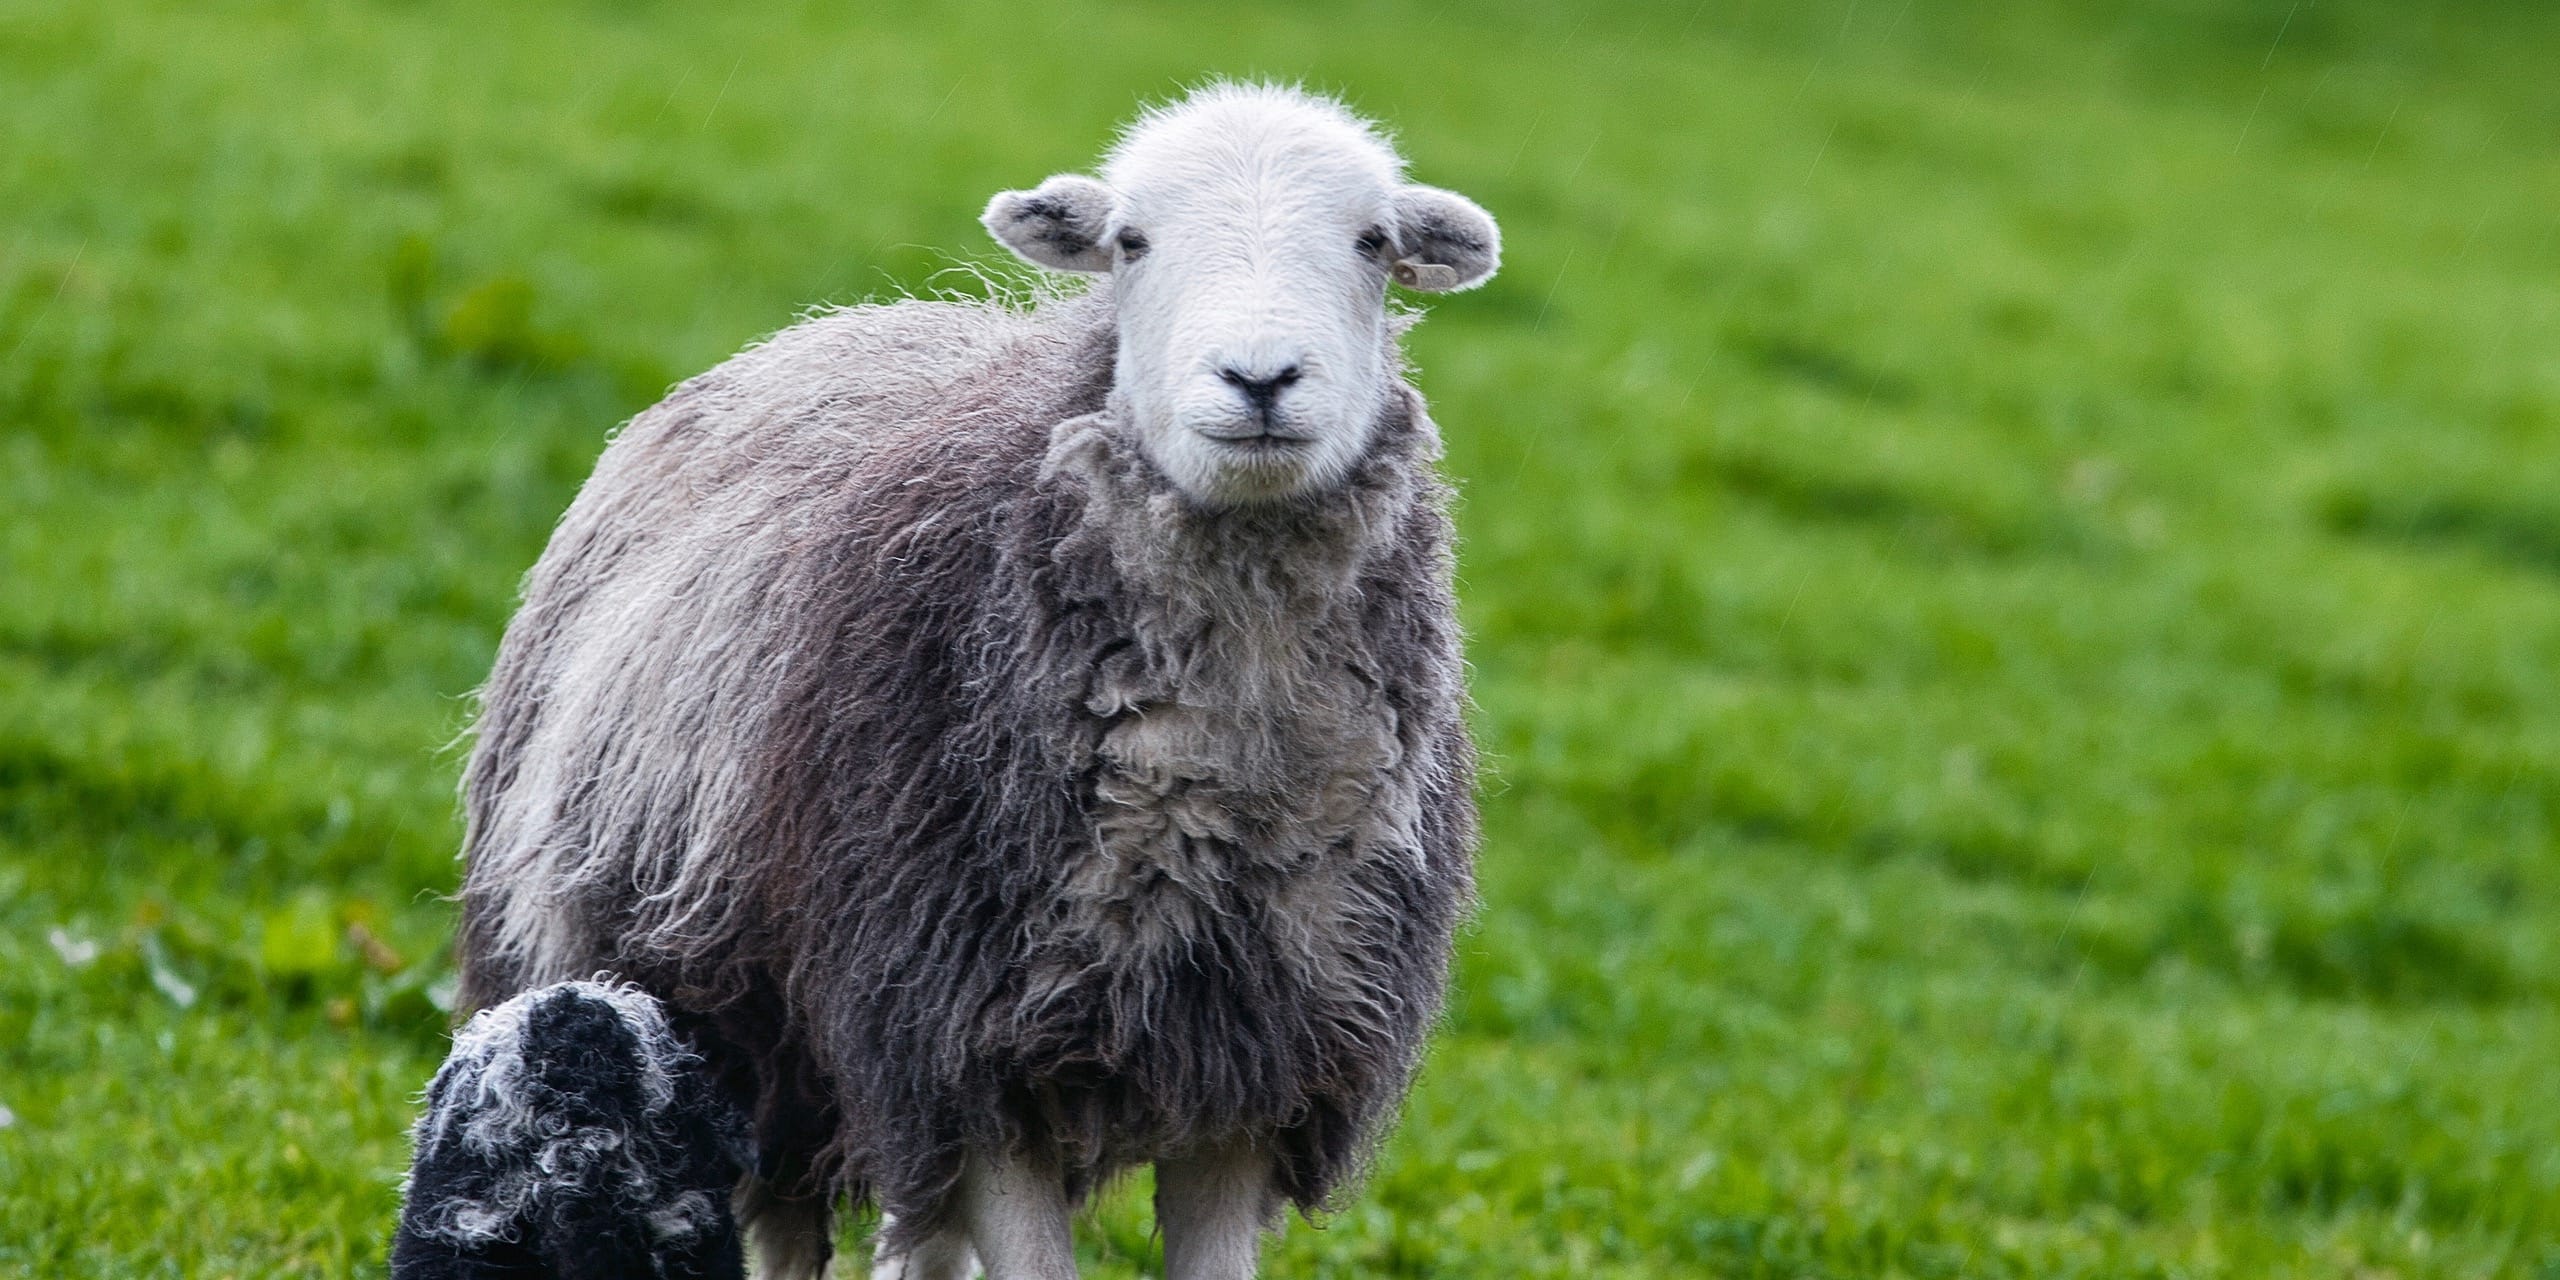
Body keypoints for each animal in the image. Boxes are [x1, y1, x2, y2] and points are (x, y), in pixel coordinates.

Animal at [445, 81, 1500, 1279]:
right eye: (1130, 242)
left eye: (1373, 243)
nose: (1261, 380)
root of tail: (842, 324)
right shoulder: (955, 1035)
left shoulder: (1256, 1054)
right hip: (722, 1020)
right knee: (784, 1223)